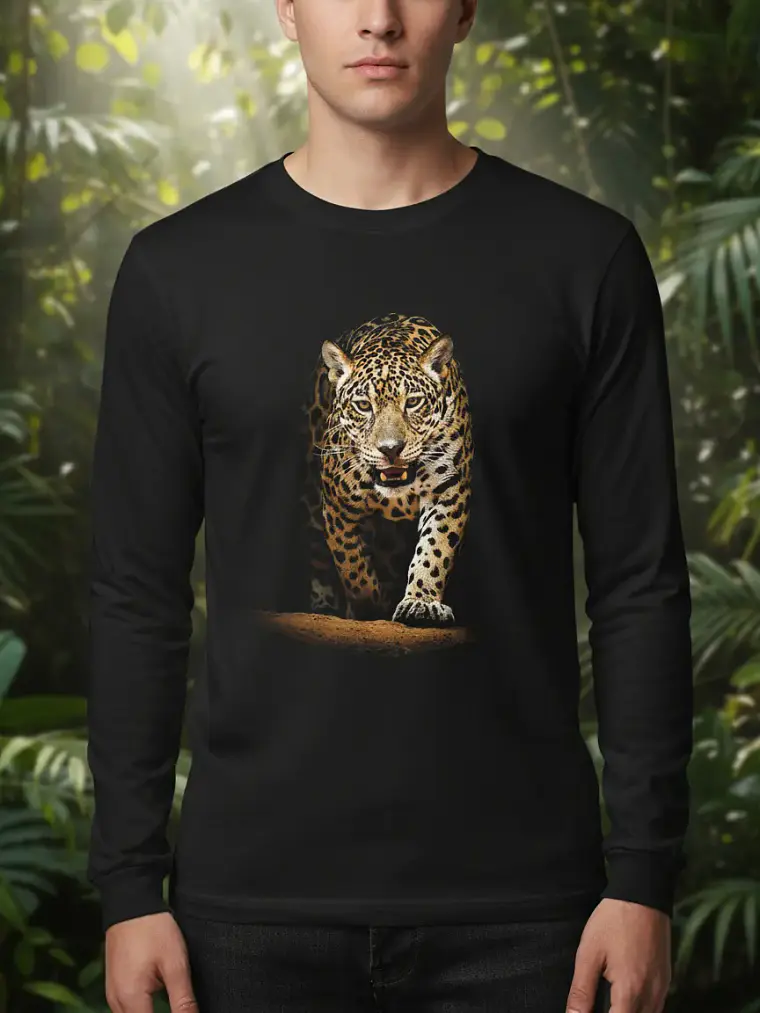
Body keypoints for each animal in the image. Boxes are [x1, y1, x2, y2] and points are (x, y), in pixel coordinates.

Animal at [300, 311, 473, 628]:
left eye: (413, 402)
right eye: (363, 405)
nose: (391, 449)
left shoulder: (449, 491)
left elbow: (435, 548)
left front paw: (421, 602)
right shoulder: (337, 506)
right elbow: (350, 562)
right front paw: (368, 606)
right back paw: (323, 605)